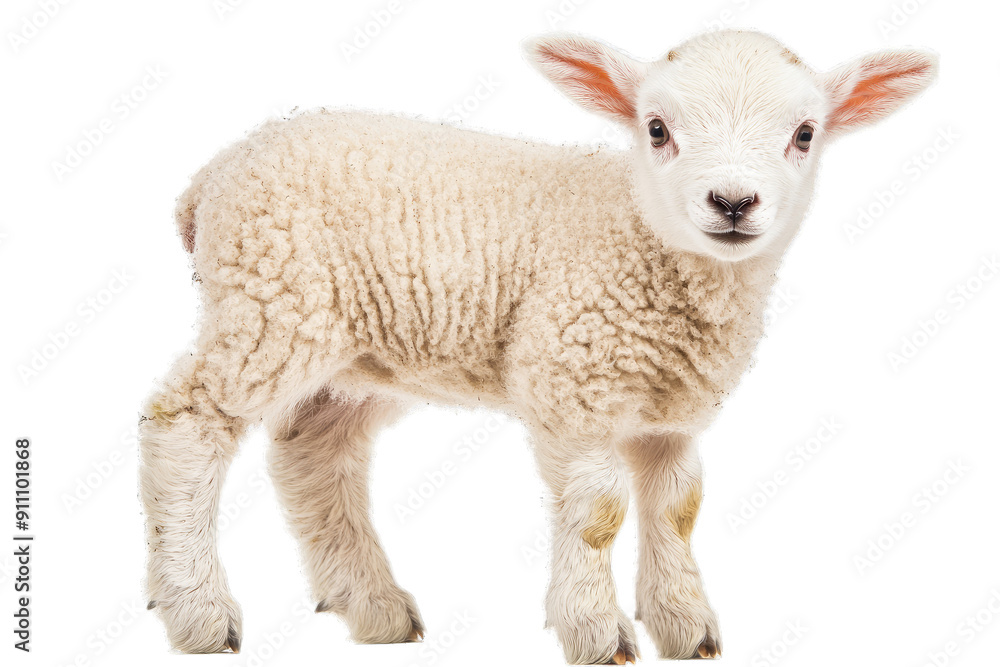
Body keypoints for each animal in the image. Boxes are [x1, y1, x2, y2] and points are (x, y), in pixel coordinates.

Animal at [141, 28, 938, 663]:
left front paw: (685, 625)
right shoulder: (568, 378)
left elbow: (678, 504)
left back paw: (374, 606)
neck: (640, 237)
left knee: (314, 450)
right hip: (268, 304)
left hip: (354, 351)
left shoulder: (669, 411)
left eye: (805, 133)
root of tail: (209, 178)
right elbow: (600, 510)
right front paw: (598, 631)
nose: (734, 203)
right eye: (656, 129)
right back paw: (198, 610)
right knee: (186, 422)